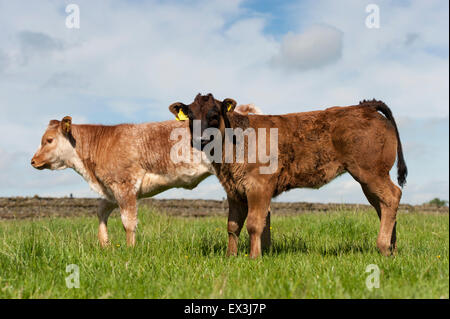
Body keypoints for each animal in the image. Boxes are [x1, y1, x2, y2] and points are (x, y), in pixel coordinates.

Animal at [169, 94, 408, 258]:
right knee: (383, 206)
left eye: (214, 114)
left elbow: (255, 223)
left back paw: (383, 247)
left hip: (371, 172)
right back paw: (392, 249)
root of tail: (365, 106)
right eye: (190, 116)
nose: (200, 139)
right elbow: (233, 225)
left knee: (392, 196)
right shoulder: (234, 190)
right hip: (370, 179)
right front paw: (231, 257)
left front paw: (254, 258)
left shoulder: (259, 185)